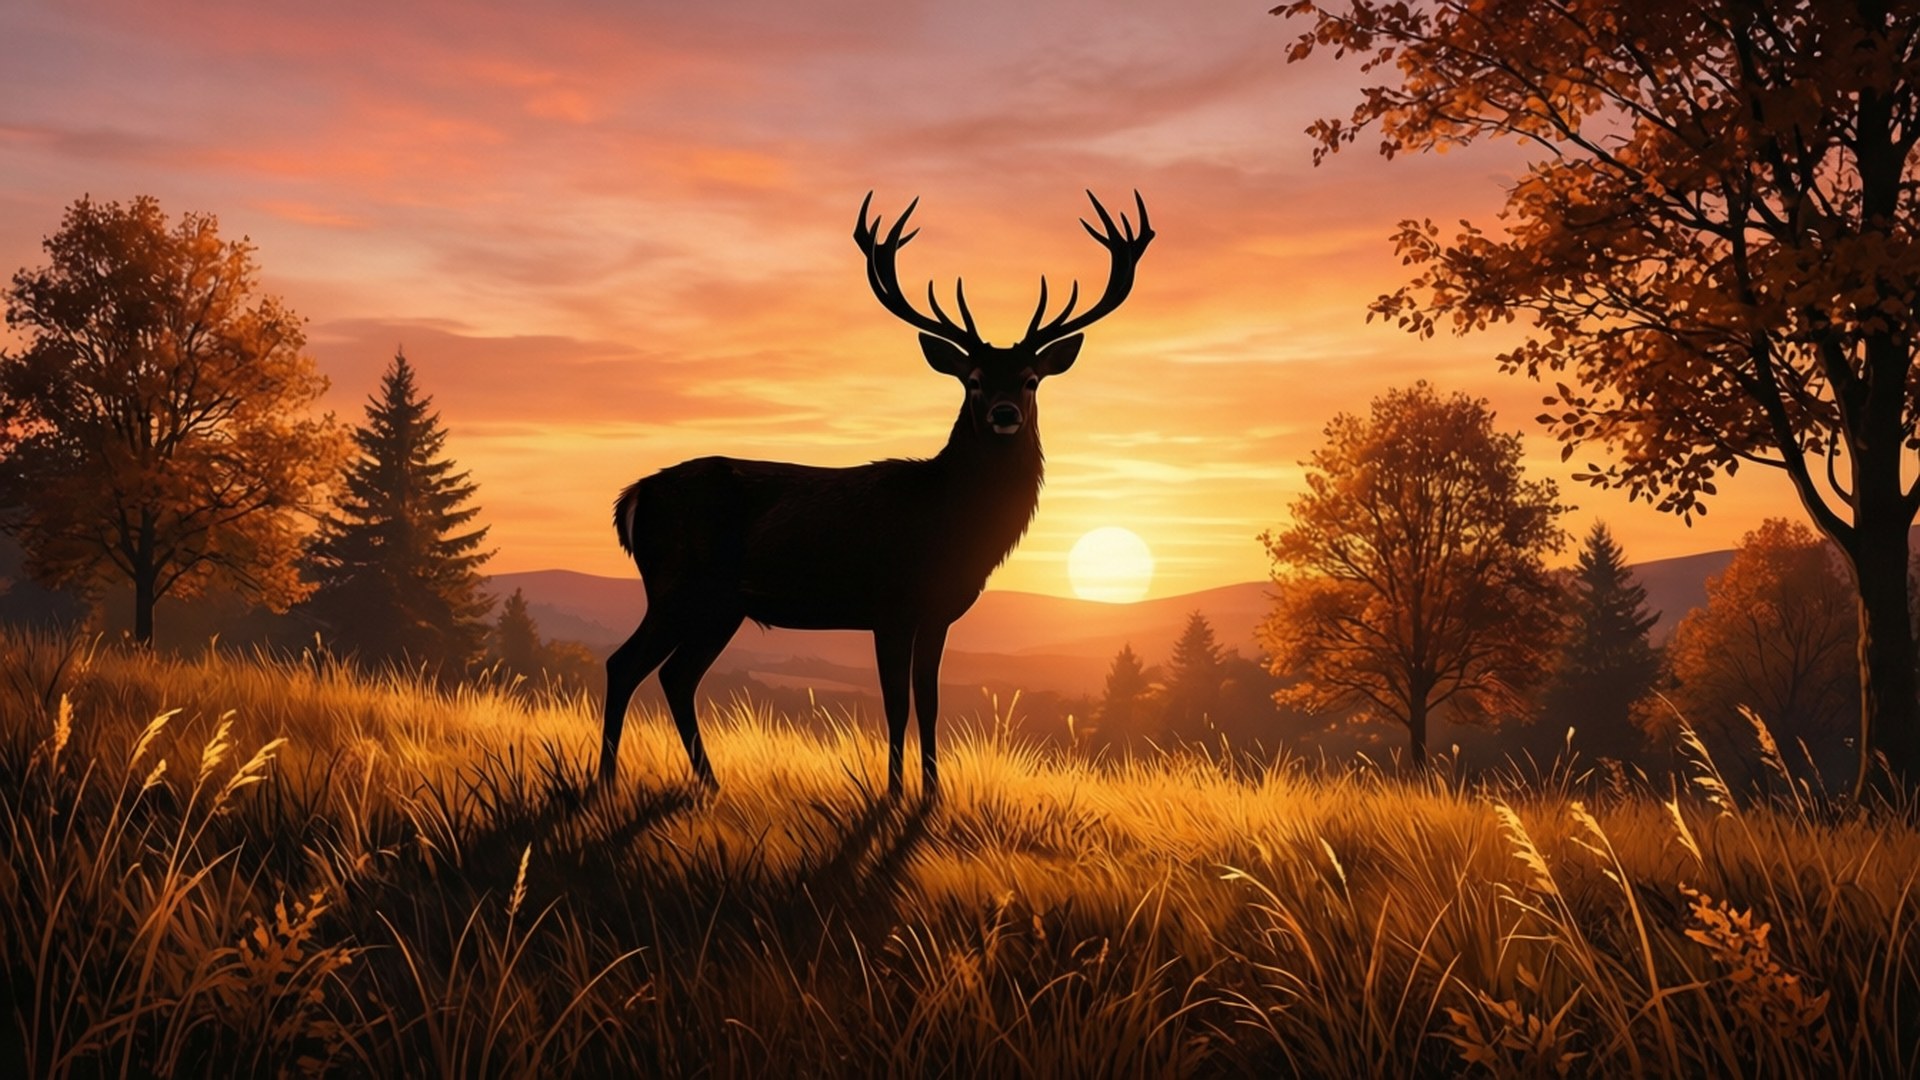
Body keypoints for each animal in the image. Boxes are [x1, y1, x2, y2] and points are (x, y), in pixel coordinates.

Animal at [599, 191, 1152, 796]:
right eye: (974, 380)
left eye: (1031, 379)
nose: (1004, 414)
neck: (951, 525)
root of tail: (632, 498)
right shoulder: (890, 603)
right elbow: (895, 705)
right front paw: (891, 792)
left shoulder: (937, 613)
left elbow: (929, 703)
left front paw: (931, 792)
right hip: (679, 586)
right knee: (625, 665)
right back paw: (606, 782)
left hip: (719, 605)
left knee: (676, 675)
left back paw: (710, 785)